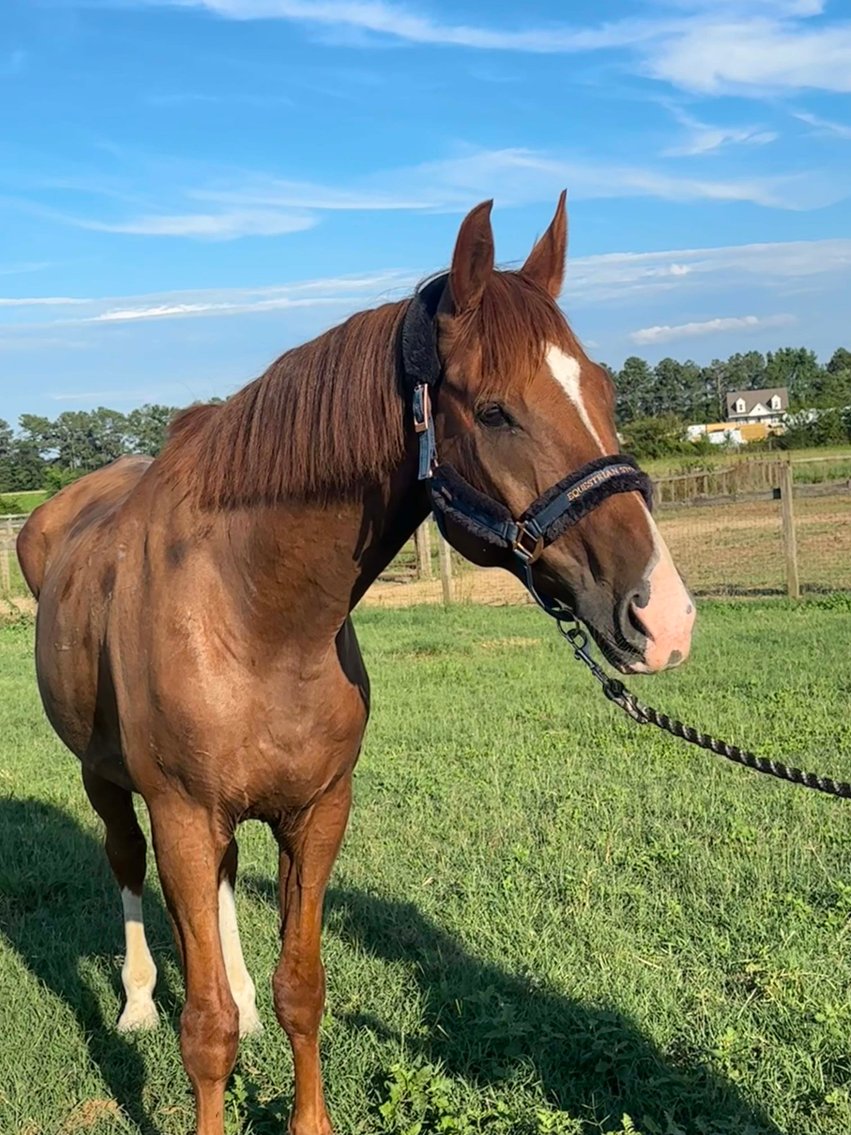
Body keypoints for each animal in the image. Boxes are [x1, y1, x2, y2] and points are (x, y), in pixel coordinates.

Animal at [17, 194, 695, 1135]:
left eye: (602, 388)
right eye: (494, 412)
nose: (662, 615)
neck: (253, 612)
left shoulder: (317, 812)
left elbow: (301, 988)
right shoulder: (182, 813)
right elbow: (204, 1030)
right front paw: (193, 1020)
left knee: (224, 889)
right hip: (105, 777)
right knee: (124, 862)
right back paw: (140, 999)